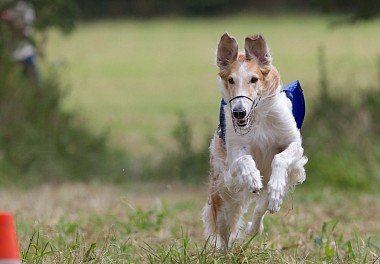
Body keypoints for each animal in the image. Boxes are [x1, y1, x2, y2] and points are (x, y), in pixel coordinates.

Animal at [200, 33, 308, 250]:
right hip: (222, 189)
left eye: (254, 79)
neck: (256, 118)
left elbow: (280, 158)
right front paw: (252, 178)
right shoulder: (233, 155)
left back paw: (256, 224)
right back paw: (224, 248)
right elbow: (245, 159)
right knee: (222, 225)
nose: (239, 112)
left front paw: (274, 188)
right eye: (231, 80)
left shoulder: (293, 144)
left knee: (262, 207)